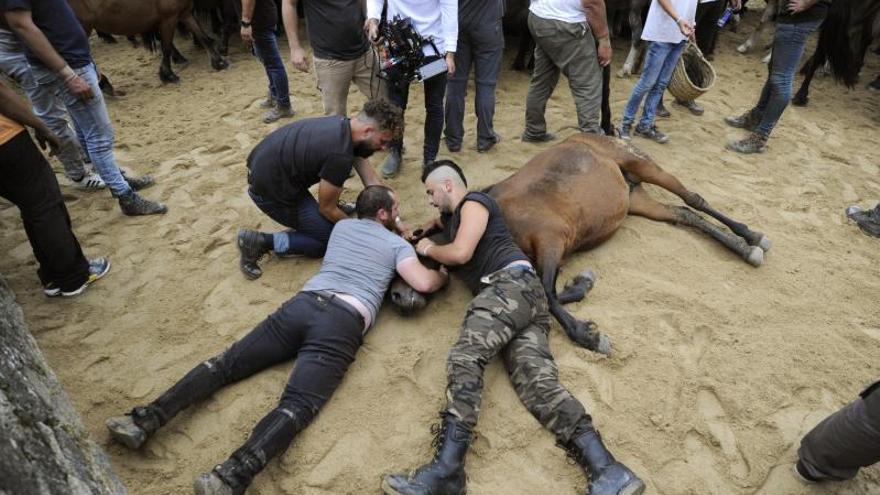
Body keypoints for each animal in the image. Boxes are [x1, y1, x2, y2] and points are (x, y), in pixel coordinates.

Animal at [392, 132, 768, 356]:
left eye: (405, 251)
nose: (397, 299)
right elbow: (553, 294)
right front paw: (582, 286)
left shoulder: (552, 240)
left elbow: (548, 293)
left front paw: (587, 335)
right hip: (636, 199)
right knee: (684, 214)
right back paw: (743, 245)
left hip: (643, 165)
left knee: (693, 198)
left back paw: (752, 238)